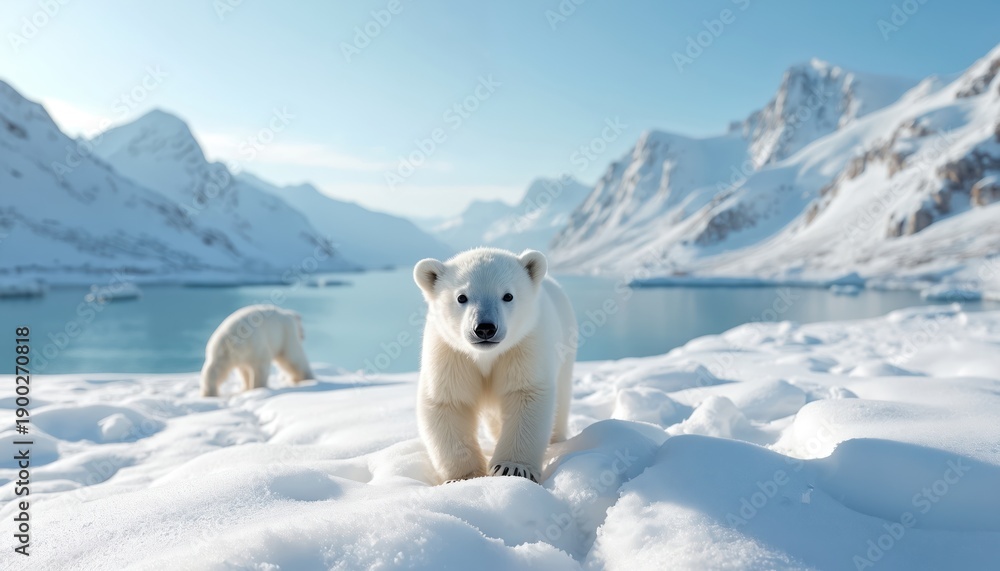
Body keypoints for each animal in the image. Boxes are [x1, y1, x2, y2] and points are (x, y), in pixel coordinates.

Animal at [413, 247, 577, 484]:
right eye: (461, 297)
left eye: (507, 295)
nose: (485, 328)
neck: (486, 356)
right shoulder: (451, 353)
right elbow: (449, 401)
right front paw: (463, 477)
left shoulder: (523, 346)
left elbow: (524, 394)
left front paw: (512, 468)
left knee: (561, 399)